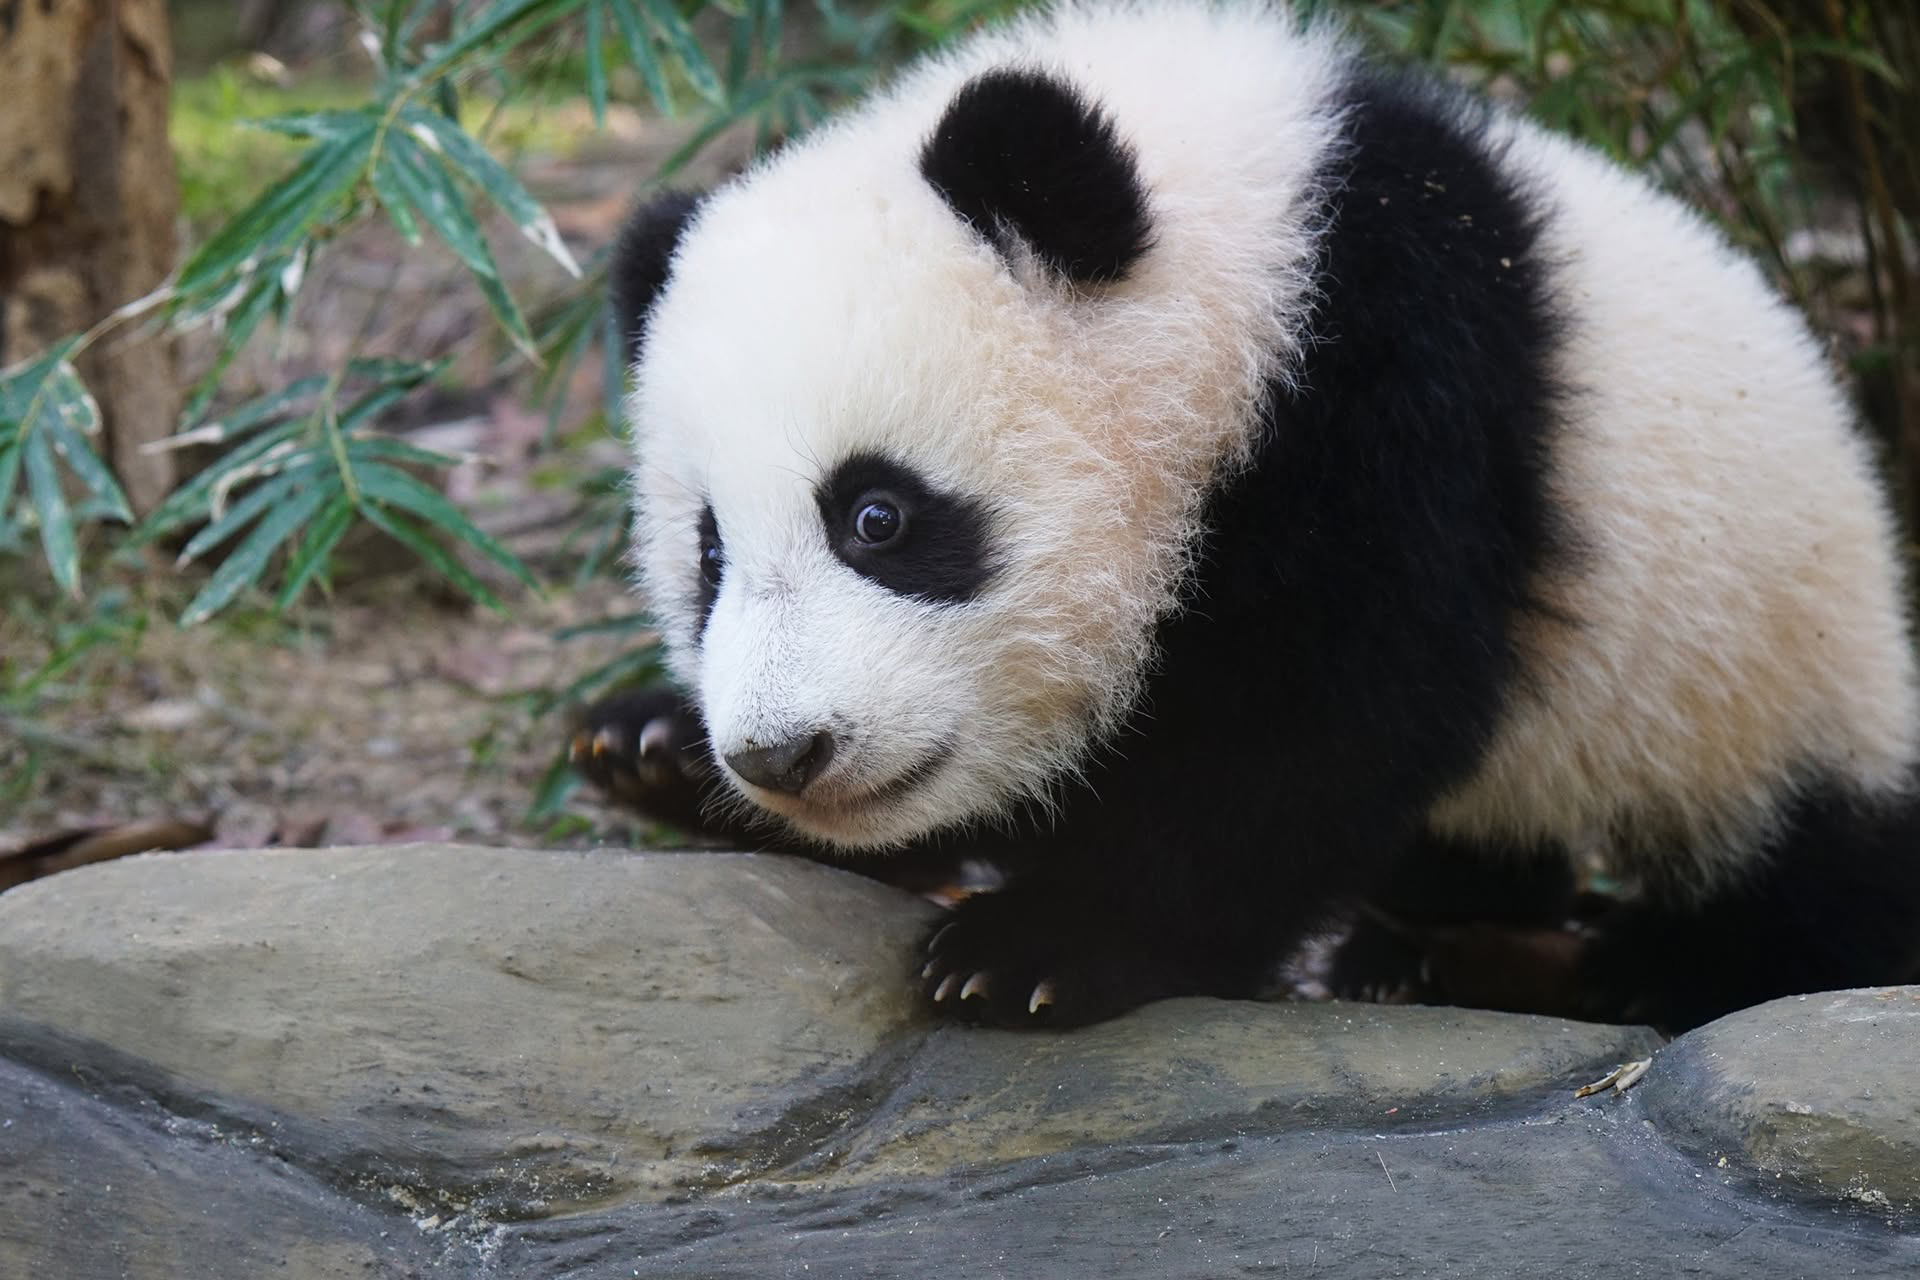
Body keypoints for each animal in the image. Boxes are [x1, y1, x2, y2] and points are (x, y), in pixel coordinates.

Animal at [578, 0, 1920, 1031]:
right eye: (708, 552)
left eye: (877, 516)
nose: (781, 754)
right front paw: (651, 746)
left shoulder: (1401, 386)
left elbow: (1322, 714)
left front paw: (1039, 944)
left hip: (1761, 665)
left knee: (1813, 881)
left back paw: (1631, 968)